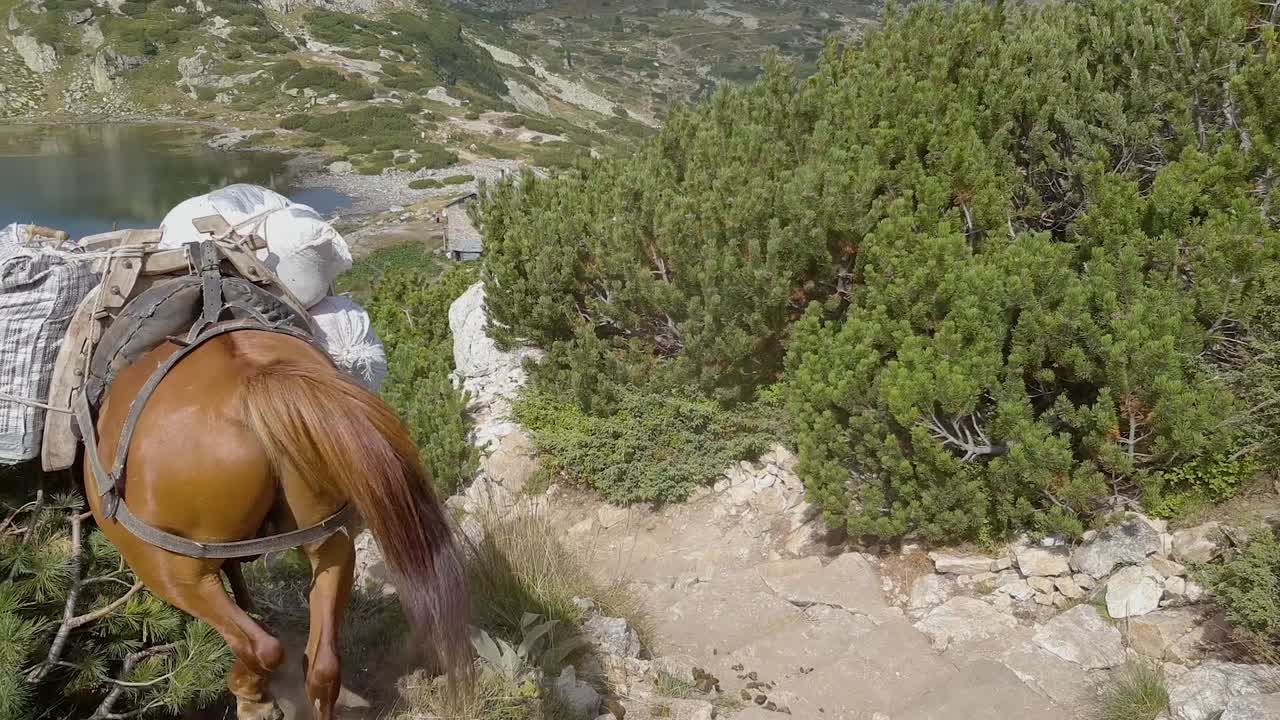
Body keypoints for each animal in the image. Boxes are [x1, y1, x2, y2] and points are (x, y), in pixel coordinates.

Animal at [83, 325, 470, 720]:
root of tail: (253, 380)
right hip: (329, 539)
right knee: (323, 665)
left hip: (169, 569)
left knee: (260, 645)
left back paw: (253, 697)